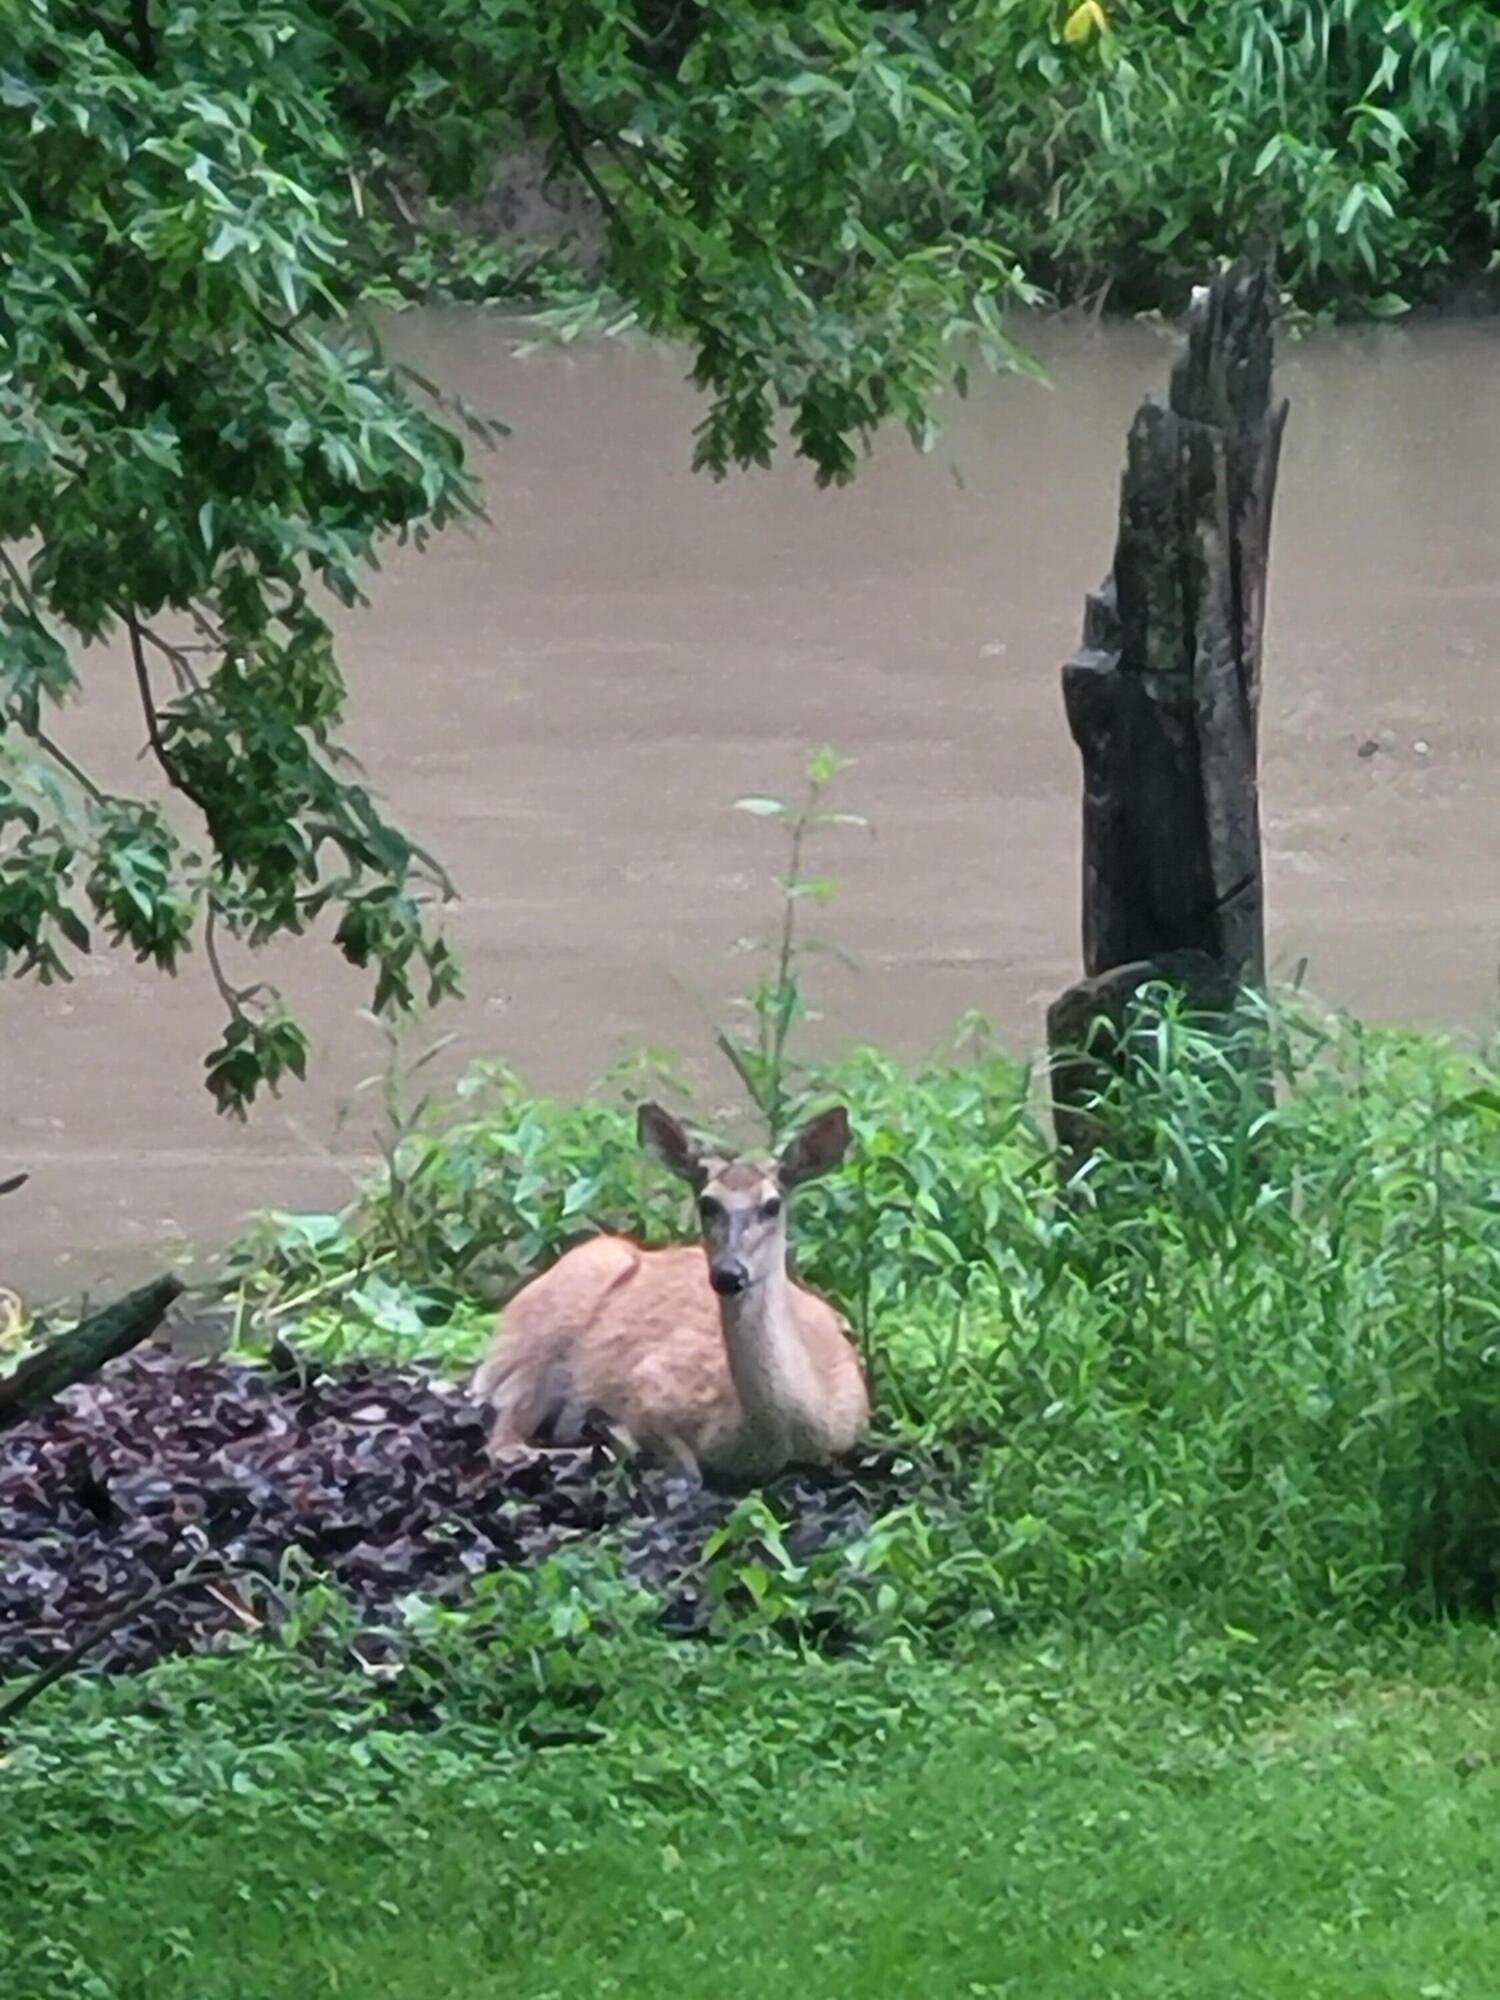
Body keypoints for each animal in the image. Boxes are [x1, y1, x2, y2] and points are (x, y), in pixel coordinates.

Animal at [468, 1096, 868, 1488]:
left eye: (772, 1205)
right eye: (706, 1203)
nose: (728, 1273)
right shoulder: (649, 1388)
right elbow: (687, 1469)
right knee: (505, 1437)